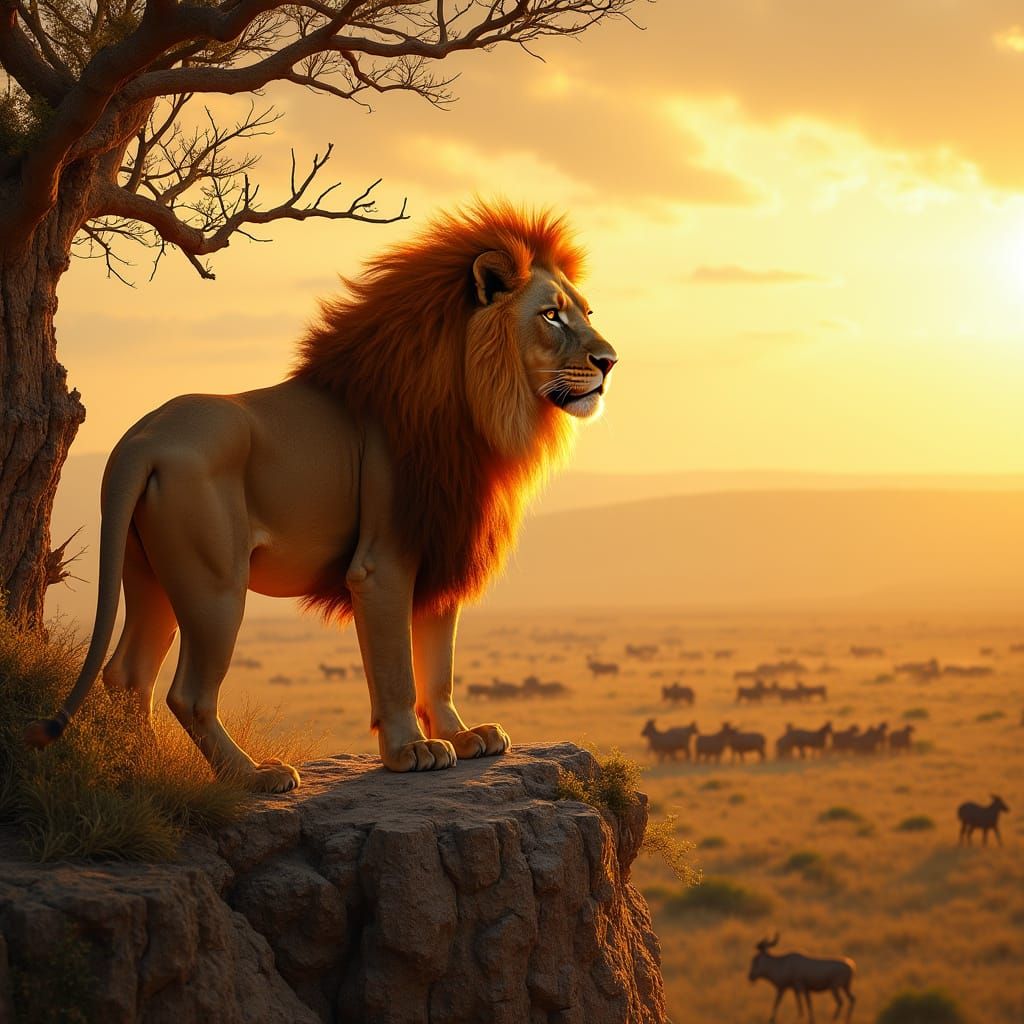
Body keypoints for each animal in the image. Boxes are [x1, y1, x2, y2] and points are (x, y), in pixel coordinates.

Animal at [25, 201, 617, 792]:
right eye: (551, 315)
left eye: (586, 311)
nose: (610, 361)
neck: (474, 406)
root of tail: (140, 439)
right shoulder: (382, 563)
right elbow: (397, 670)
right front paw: (411, 750)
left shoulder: (441, 543)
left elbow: (439, 663)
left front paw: (464, 735)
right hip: (215, 582)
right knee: (187, 693)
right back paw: (251, 775)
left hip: (152, 573)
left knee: (128, 674)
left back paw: (149, 776)